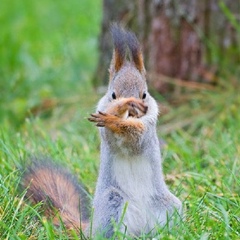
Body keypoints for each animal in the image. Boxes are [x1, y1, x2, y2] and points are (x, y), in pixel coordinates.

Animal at [21, 24, 182, 238]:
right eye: (112, 94)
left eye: (144, 94)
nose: (133, 110)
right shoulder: (105, 133)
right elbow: (112, 135)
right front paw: (116, 112)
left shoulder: (148, 130)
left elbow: (136, 139)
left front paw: (119, 120)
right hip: (112, 203)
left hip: (168, 207)